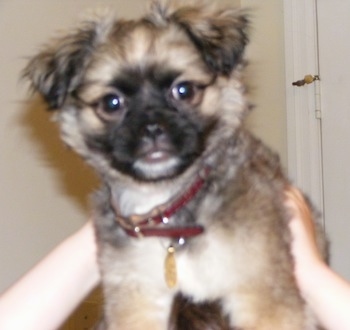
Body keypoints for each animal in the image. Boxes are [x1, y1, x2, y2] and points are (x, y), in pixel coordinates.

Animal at [23, 1, 326, 328]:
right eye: (111, 103)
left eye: (184, 90)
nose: (152, 128)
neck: (169, 207)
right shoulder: (135, 297)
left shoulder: (263, 294)